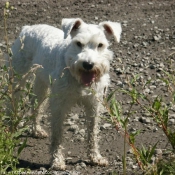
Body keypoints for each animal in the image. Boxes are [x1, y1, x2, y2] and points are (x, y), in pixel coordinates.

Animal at [11, 18, 121, 170]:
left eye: (100, 45)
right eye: (78, 43)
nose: (88, 64)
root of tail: (27, 28)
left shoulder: (93, 105)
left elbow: (92, 133)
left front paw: (95, 157)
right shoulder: (59, 105)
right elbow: (57, 135)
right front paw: (57, 161)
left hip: (41, 85)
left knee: (36, 107)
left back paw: (36, 130)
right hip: (18, 78)